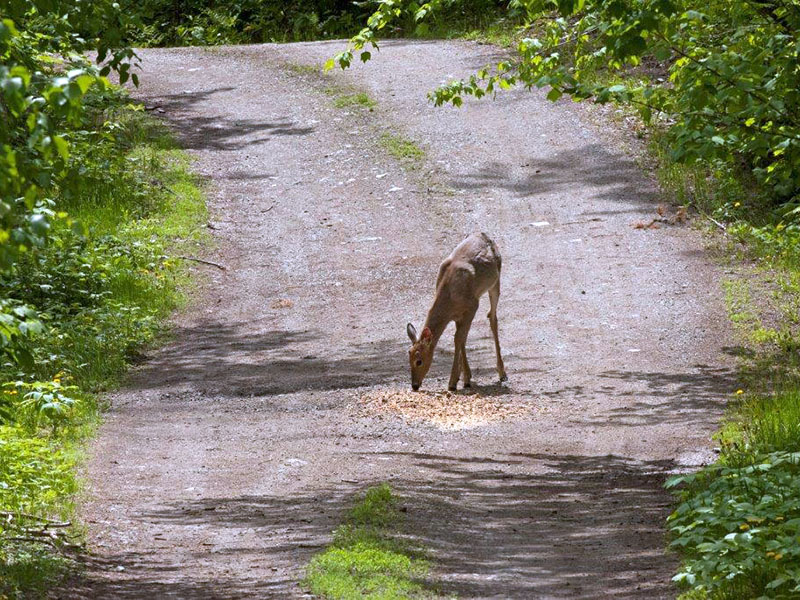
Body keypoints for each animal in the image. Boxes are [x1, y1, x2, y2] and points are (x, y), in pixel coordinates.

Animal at [406, 232, 507, 392]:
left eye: (419, 361)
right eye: (408, 356)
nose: (414, 385)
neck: (450, 295)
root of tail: (483, 234)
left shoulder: (472, 305)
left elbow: (459, 338)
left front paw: (453, 382)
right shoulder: (458, 316)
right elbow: (461, 338)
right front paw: (465, 377)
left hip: (495, 282)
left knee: (492, 318)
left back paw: (502, 373)